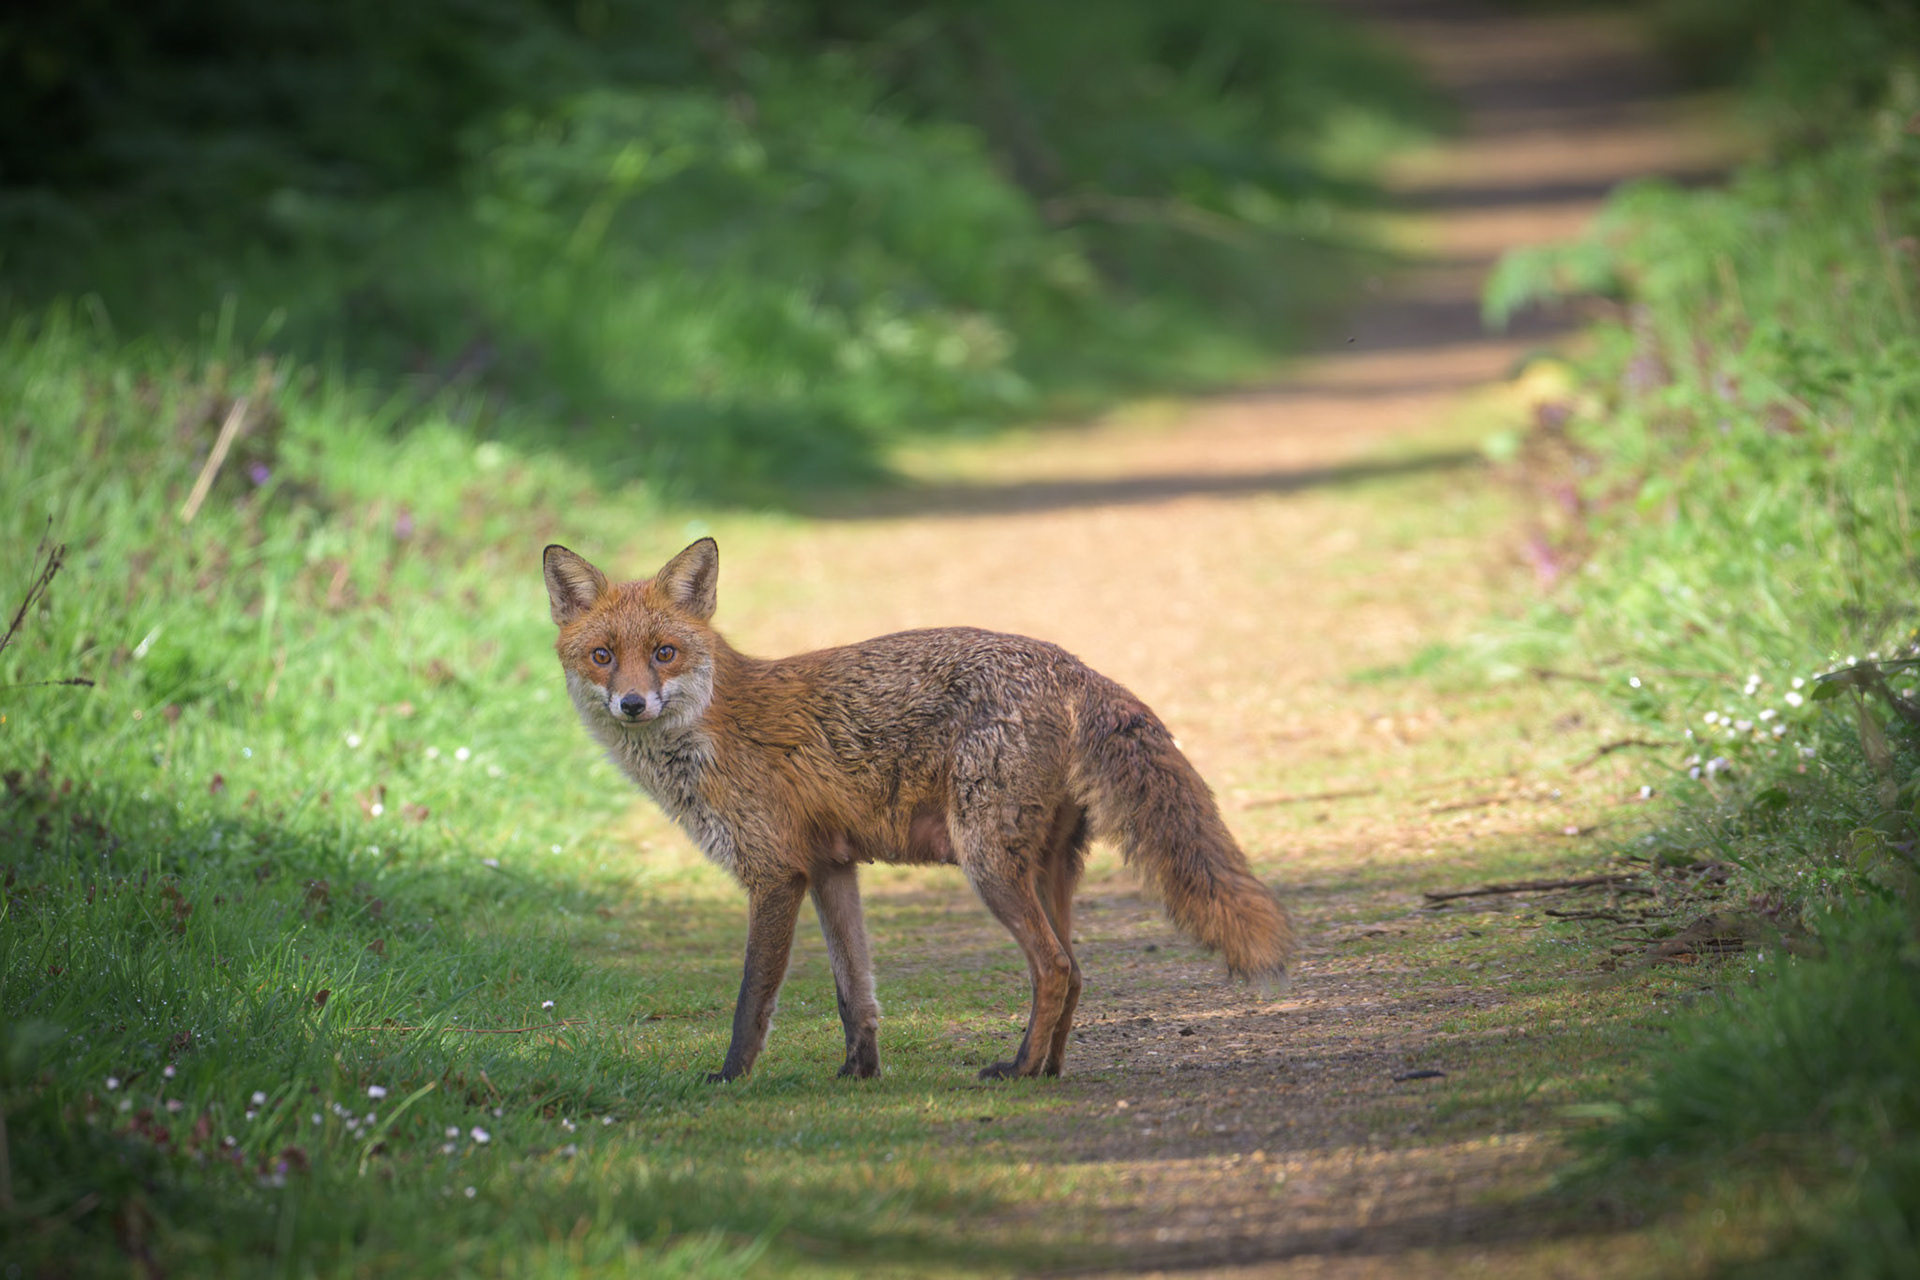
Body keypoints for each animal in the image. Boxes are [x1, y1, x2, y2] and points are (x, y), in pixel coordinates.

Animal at [542, 538, 1294, 1082]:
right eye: (603, 656)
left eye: (664, 653)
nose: (632, 704)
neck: (714, 726)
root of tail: (1073, 666)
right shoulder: (830, 869)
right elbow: (855, 992)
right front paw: (859, 1072)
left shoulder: (777, 873)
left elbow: (752, 998)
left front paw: (729, 1077)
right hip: (1048, 867)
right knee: (1075, 972)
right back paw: (1047, 1067)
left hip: (988, 865)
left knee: (1054, 967)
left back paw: (1019, 1070)